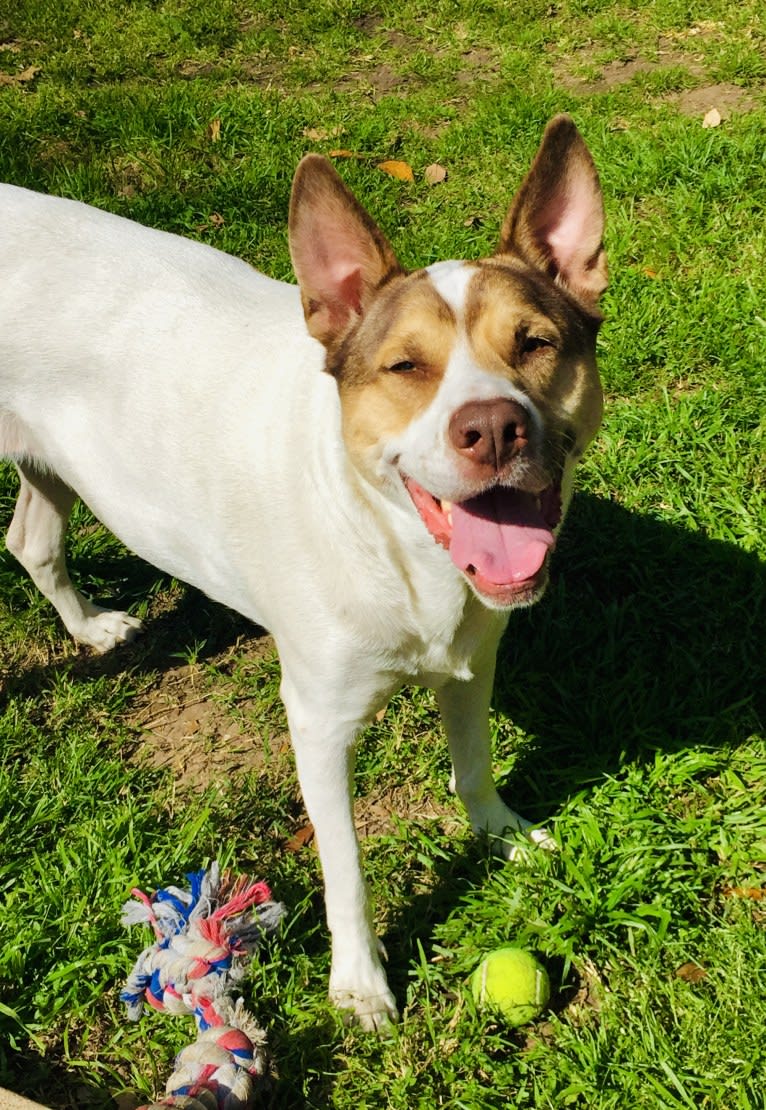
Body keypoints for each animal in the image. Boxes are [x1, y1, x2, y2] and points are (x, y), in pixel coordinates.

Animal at [1, 114, 608, 1030]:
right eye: (405, 367)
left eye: (535, 344)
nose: (494, 428)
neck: (395, 548)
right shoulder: (319, 723)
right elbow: (346, 868)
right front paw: (359, 983)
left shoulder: (473, 664)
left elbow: (473, 766)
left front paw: (500, 832)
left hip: (54, 465)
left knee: (31, 539)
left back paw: (90, 627)